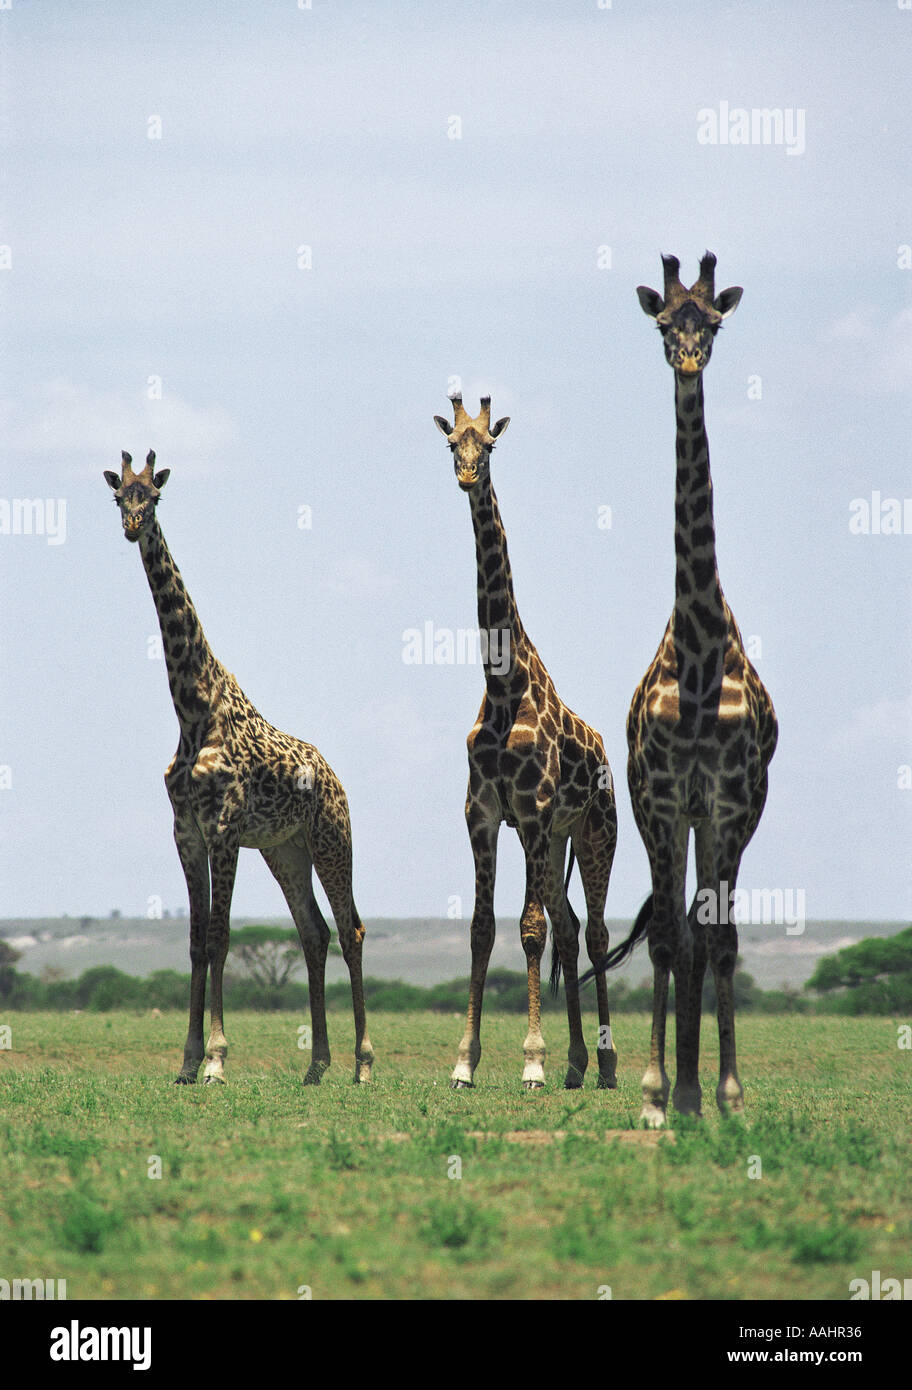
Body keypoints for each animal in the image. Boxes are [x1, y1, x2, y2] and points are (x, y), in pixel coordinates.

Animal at [100, 453, 369, 1084]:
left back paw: (362, 1065)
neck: (192, 706)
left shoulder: (223, 827)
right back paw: (316, 1066)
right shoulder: (186, 832)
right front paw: (187, 1061)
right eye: (119, 496)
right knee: (314, 931)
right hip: (284, 849)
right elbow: (197, 941)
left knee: (350, 928)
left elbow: (221, 938)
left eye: (154, 496)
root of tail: (335, 777)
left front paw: (217, 1062)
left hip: (332, 838)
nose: (132, 526)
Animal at [433, 391, 620, 1084]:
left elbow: (530, 929)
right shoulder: (484, 813)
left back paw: (605, 1062)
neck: (503, 681)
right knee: (571, 928)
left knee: (594, 931)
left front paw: (532, 1061)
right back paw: (577, 1064)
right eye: (450, 442)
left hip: (593, 830)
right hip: (556, 837)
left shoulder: (535, 811)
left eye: (488, 444)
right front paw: (465, 1061)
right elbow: (483, 929)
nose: (467, 476)